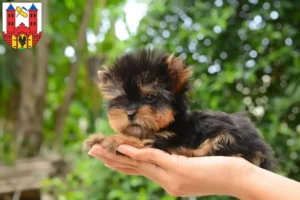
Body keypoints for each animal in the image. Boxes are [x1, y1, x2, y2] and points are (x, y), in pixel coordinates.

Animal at [83, 49, 276, 170]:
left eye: (150, 97)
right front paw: (103, 137)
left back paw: (185, 152)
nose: (130, 113)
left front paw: (110, 139)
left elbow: (139, 141)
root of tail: (263, 150)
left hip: (230, 137)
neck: (171, 122)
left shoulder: (165, 139)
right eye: (122, 99)